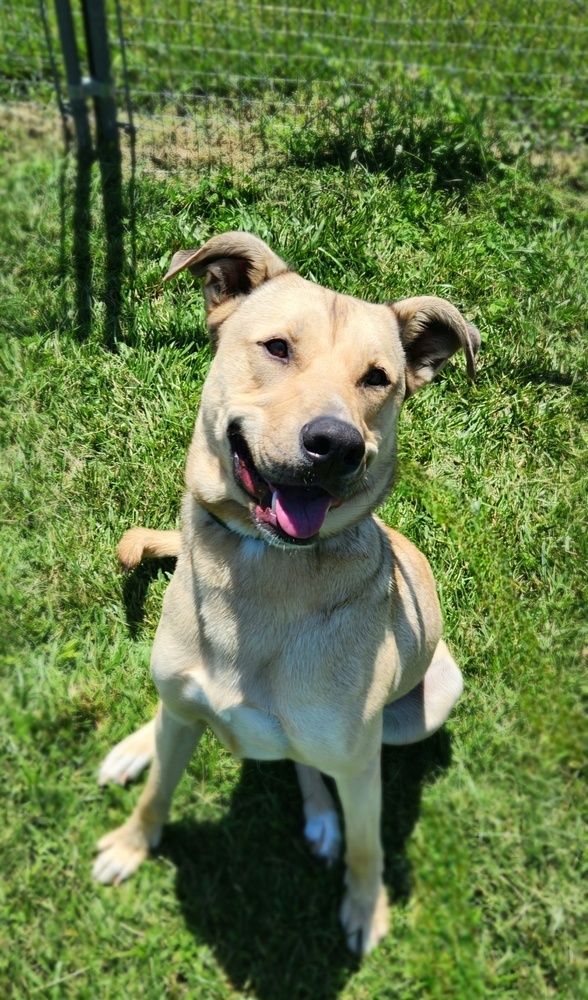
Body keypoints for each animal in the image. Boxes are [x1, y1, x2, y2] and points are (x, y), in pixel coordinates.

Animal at [90, 230, 478, 956]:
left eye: (377, 378)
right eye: (276, 348)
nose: (336, 444)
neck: (263, 570)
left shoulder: (358, 763)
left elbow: (366, 846)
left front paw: (366, 910)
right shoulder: (183, 704)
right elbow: (158, 790)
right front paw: (132, 843)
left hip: (428, 705)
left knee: (312, 764)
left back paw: (320, 814)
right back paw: (136, 748)